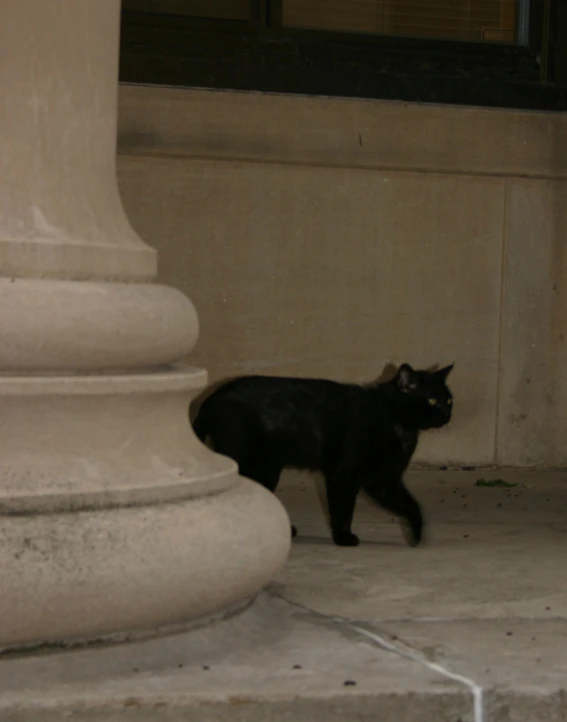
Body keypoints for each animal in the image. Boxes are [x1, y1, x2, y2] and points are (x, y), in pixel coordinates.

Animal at [193, 362, 454, 548]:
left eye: (449, 400)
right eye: (432, 400)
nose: (447, 414)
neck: (398, 425)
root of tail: (210, 398)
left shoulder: (384, 481)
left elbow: (411, 505)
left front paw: (416, 535)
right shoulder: (345, 475)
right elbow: (343, 510)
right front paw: (344, 538)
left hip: (267, 469)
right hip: (249, 462)